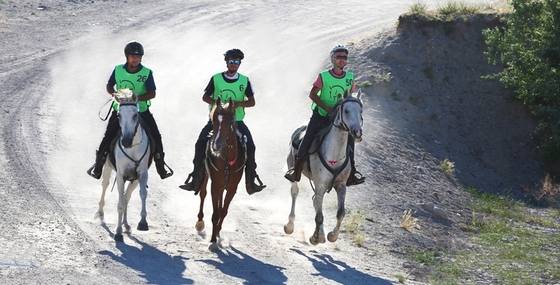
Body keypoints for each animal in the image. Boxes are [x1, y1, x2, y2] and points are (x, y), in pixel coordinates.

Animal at [95, 87, 151, 241]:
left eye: (135, 115)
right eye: (119, 116)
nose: (126, 141)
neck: (132, 148)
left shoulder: (142, 174)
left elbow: (142, 194)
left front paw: (142, 222)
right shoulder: (120, 175)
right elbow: (120, 204)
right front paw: (118, 232)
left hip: (133, 179)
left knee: (127, 196)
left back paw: (126, 224)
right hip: (108, 168)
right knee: (105, 185)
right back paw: (100, 212)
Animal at [195, 96, 245, 251]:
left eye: (230, 122)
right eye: (214, 121)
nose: (215, 145)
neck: (227, 159)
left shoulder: (232, 188)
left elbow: (223, 211)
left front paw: (217, 234)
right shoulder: (215, 185)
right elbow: (215, 213)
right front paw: (212, 241)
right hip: (206, 176)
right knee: (203, 193)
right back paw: (199, 222)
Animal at [284, 89, 364, 244]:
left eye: (361, 111)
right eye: (346, 110)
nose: (357, 132)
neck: (334, 154)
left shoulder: (341, 185)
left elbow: (340, 213)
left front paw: (332, 235)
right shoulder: (320, 184)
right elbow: (319, 216)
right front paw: (316, 238)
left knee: (316, 202)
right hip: (293, 169)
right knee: (295, 192)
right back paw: (290, 225)